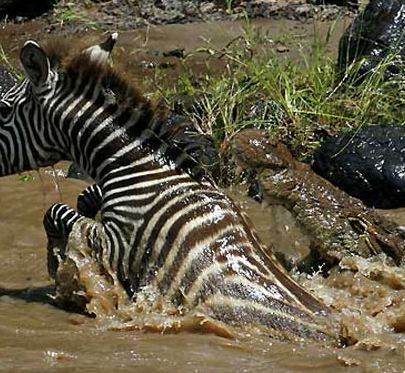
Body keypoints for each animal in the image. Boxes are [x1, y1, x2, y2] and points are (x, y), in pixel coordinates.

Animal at [0, 35, 334, 342]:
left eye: (3, 109)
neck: (134, 166)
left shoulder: (116, 243)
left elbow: (55, 211)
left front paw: (58, 270)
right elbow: (82, 199)